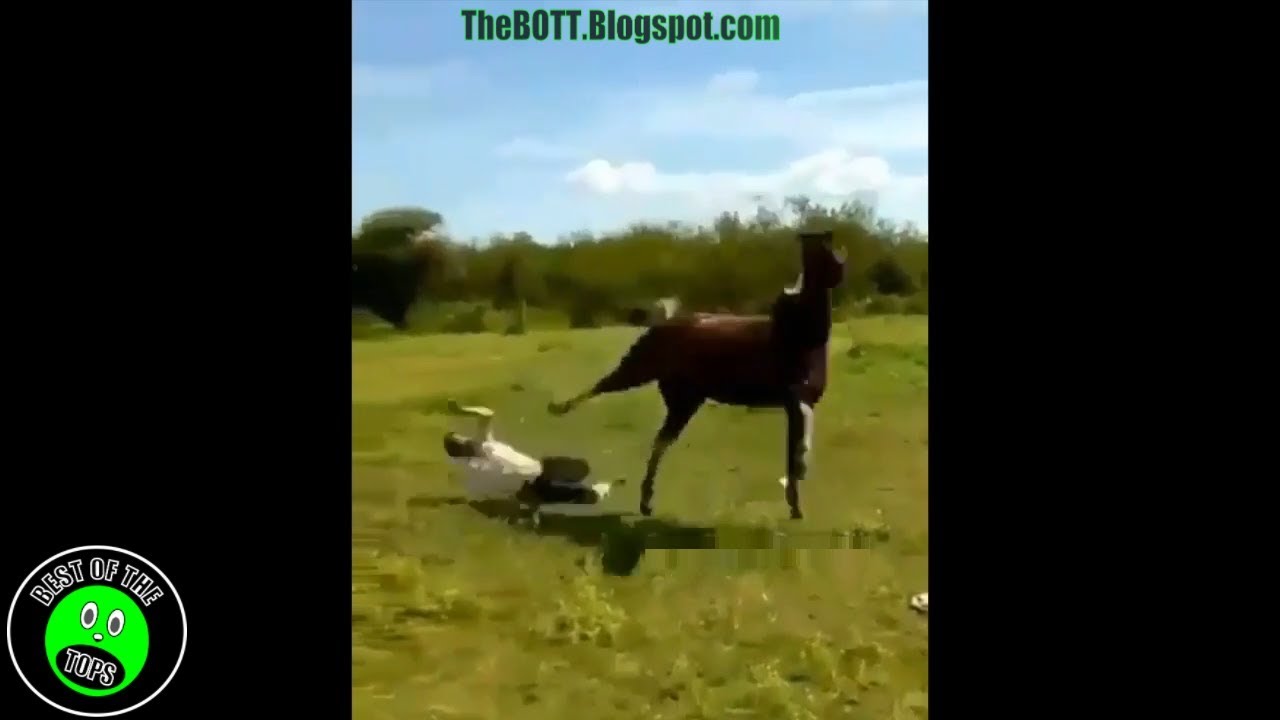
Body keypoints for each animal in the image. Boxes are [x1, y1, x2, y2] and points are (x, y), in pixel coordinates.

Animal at [547, 229, 846, 520]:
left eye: (832, 252)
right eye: (823, 252)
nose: (840, 270)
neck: (803, 335)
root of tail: (663, 323)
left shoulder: (798, 403)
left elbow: (794, 452)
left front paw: (796, 503)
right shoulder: (796, 399)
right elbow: (796, 451)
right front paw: (798, 495)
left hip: (684, 401)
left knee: (660, 441)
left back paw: (647, 502)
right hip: (640, 371)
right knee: (603, 387)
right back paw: (559, 408)